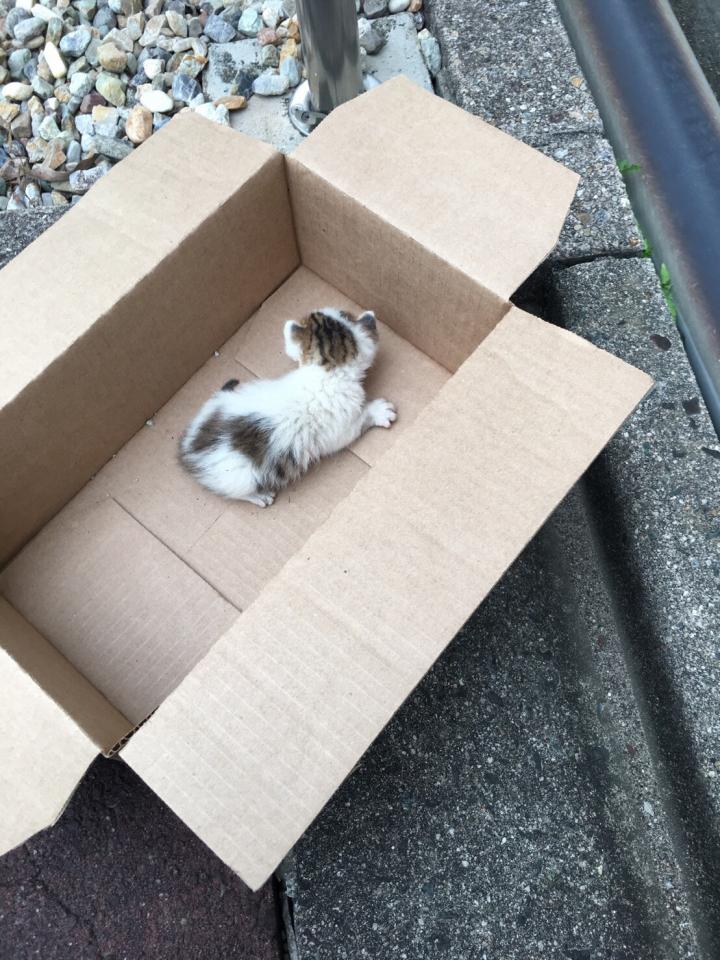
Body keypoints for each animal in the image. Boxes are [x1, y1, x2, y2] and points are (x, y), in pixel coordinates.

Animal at [179, 307, 397, 507]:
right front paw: (379, 411)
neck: (326, 371)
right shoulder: (341, 428)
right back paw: (259, 496)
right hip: (237, 478)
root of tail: (187, 446)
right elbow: (360, 421)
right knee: (235, 492)